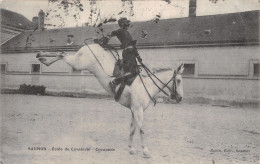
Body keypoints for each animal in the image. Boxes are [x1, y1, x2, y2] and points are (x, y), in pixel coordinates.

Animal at [36, 43, 184, 158]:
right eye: (178, 80)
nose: (180, 98)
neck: (146, 85)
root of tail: (91, 45)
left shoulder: (134, 110)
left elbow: (132, 129)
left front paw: (131, 149)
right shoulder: (138, 110)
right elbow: (142, 130)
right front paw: (146, 152)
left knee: (62, 54)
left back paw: (42, 57)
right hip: (78, 63)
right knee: (63, 54)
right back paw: (43, 56)